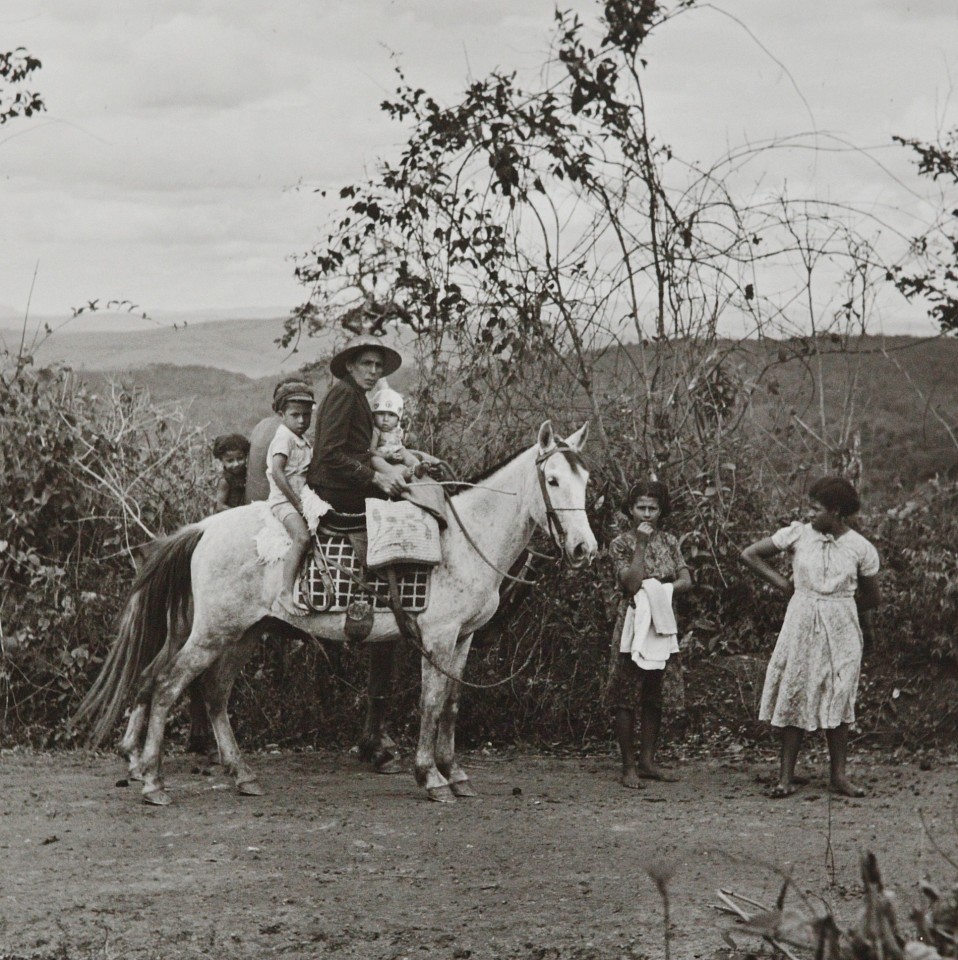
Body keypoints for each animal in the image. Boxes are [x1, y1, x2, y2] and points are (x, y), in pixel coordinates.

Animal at [75, 420, 596, 804]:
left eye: (585, 480)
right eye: (552, 480)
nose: (584, 548)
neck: (464, 538)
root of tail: (203, 528)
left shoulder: (463, 638)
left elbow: (450, 704)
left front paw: (456, 773)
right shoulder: (439, 637)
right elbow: (430, 704)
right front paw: (431, 777)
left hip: (243, 633)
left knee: (213, 694)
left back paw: (240, 774)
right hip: (211, 633)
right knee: (167, 687)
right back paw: (153, 781)